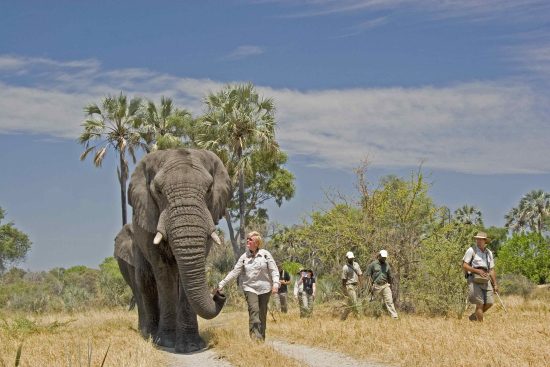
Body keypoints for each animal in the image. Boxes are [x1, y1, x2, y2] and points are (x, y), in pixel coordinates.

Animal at [128, 149, 232, 354]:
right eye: (158, 191)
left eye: (209, 189)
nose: (219, 293)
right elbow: (163, 273)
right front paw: (166, 343)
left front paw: (191, 346)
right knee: (146, 280)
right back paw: (150, 335)